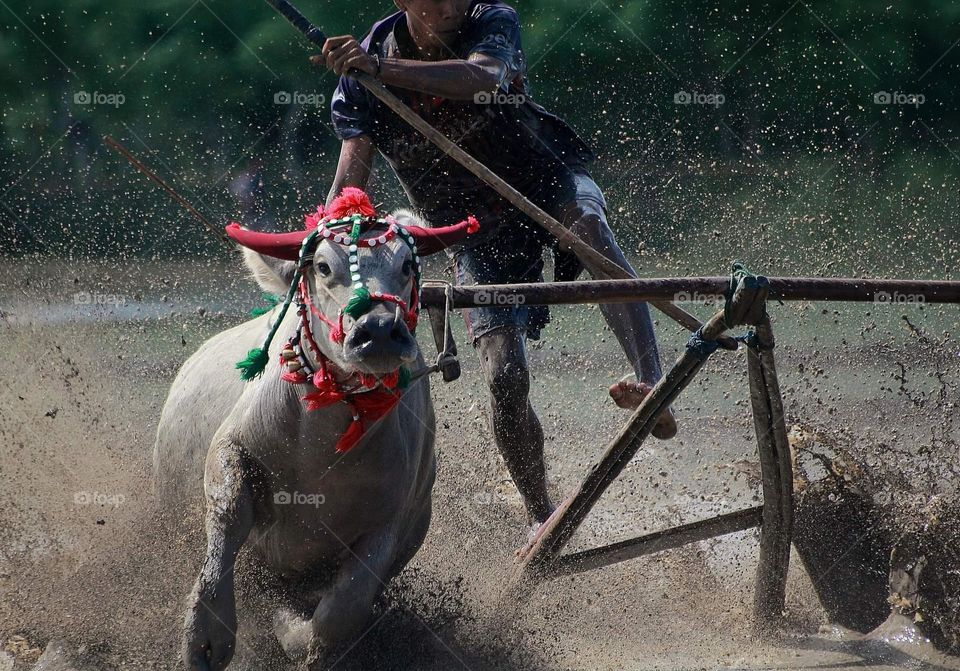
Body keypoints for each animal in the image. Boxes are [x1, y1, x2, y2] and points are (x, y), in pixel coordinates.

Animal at [153, 190, 476, 671]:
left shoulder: (389, 520)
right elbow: (229, 515)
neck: (321, 447)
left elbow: (343, 608)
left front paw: (293, 632)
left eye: (406, 265)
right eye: (323, 266)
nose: (378, 330)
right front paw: (206, 634)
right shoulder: (231, 448)